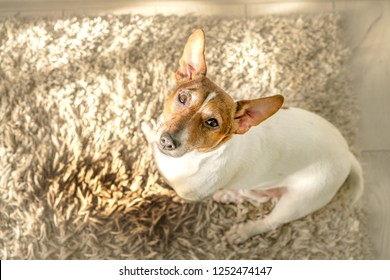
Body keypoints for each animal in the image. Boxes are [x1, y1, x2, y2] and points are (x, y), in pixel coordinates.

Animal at [142, 27, 364, 243]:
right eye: (182, 98)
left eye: (212, 122)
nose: (167, 141)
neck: (191, 157)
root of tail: (347, 152)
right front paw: (148, 129)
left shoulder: (192, 193)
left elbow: (182, 196)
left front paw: (174, 198)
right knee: (257, 196)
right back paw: (229, 195)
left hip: (298, 202)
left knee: (269, 221)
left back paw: (242, 232)